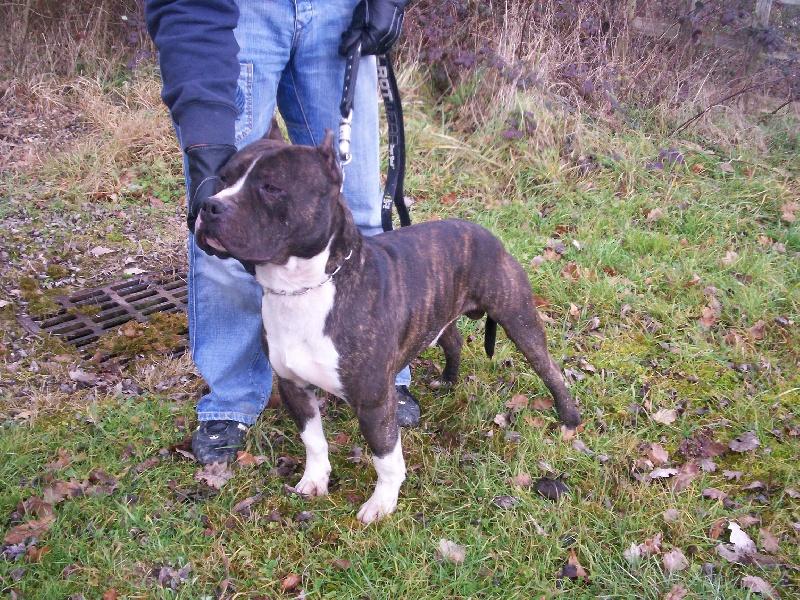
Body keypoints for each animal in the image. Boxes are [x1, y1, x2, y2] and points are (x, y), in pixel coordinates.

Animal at [193, 126, 581, 523]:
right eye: (222, 179)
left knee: (548, 367)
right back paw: (448, 380)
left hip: (518, 318)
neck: (302, 287)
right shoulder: (294, 388)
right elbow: (313, 441)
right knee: (454, 342)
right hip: (439, 315)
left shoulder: (374, 402)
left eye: (271, 187)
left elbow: (385, 457)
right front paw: (315, 480)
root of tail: (485, 233)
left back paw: (569, 418)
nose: (210, 206)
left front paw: (381, 503)